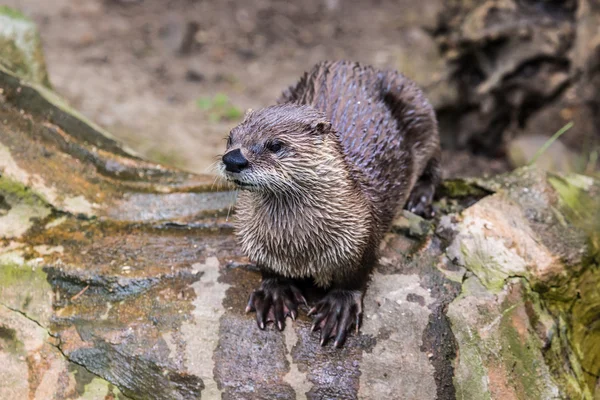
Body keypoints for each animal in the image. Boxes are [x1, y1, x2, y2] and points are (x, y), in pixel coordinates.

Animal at [220, 59, 440, 346]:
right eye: (230, 137)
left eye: (275, 145)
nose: (232, 159)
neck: (298, 247)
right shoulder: (251, 235)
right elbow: (267, 268)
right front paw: (274, 293)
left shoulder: (362, 235)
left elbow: (355, 277)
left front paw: (339, 307)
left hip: (418, 108)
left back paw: (420, 199)